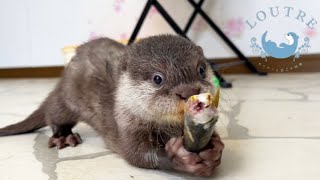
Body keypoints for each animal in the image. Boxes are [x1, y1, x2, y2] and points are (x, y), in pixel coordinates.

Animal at [0, 34, 224, 176]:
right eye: (158, 78)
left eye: (201, 69)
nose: (189, 92)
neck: (168, 128)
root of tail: (60, 81)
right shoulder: (125, 124)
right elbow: (136, 153)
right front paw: (178, 158)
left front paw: (214, 150)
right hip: (67, 98)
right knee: (54, 114)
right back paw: (63, 136)